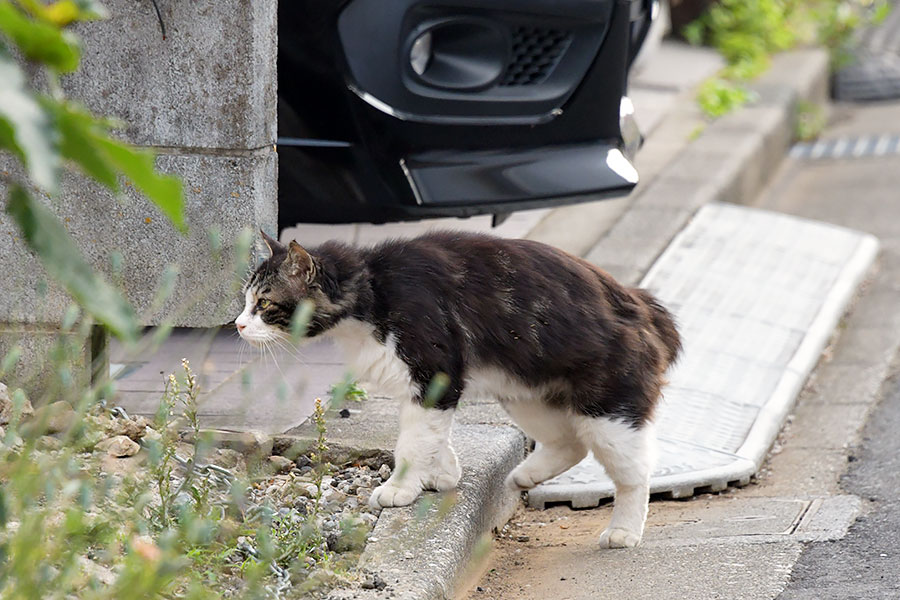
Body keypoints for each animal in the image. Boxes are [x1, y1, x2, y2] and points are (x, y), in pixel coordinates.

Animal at [236, 230, 680, 548]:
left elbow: (411, 444)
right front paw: (443, 473)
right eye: (245, 301)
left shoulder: (433, 375)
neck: (373, 291)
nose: (238, 325)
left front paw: (399, 488)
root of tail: (637, 301)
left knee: (634, 474)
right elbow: (431, 438)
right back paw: (524, 476)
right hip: (524, 394)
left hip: (607, 412)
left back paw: (624, 532)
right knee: (570, 445)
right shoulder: (427, 391)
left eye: (264, 304)